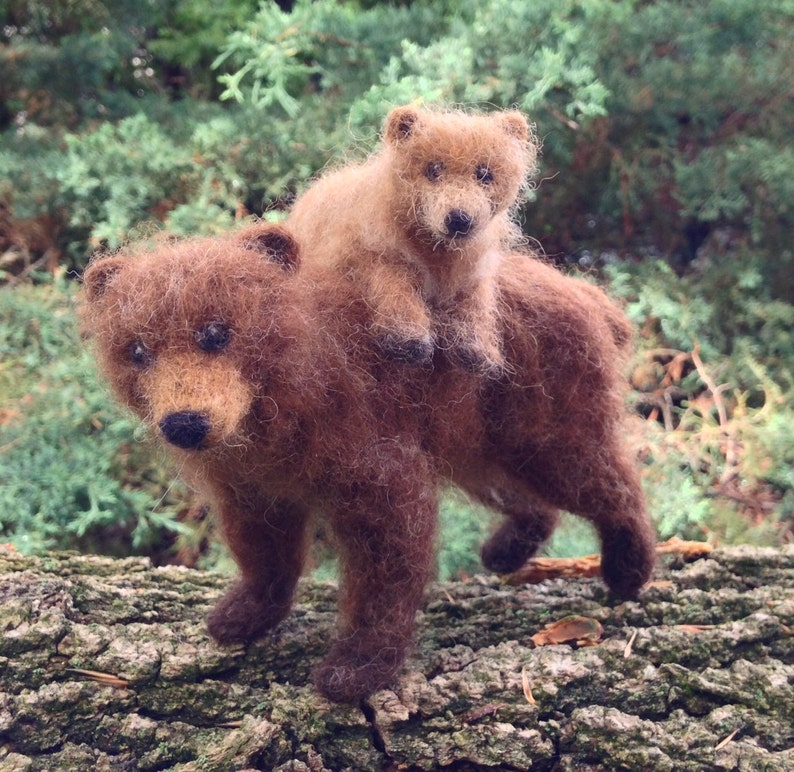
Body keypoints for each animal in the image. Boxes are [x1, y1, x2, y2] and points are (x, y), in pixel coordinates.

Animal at [82, 222, 656, 704]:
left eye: (217, 333)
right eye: (137, 350)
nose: (184, 422)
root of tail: (589, 294)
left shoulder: (371, 452)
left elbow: (389, 562)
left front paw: (358, 667)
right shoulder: (253, 484)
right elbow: (263, 550)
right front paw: (243, 614)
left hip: (546, 420)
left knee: (605, 481)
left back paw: (629, 568)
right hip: (475, 435)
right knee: (522, 495)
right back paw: (504, 551)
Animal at [288, 104, 536, 376]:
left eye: (484, 174)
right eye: (433, 170)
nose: (459, 219)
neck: (435, 251)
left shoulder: (472, 271)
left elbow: (476, 303)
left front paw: (478, 351)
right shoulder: (367, 251)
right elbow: (393, 283)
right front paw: (408, 341)